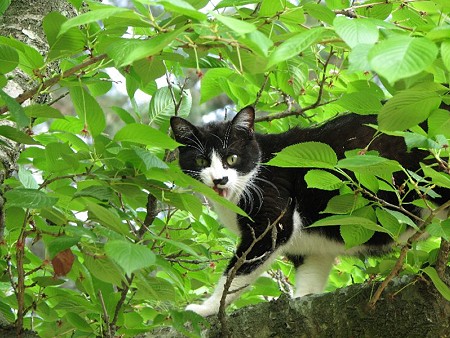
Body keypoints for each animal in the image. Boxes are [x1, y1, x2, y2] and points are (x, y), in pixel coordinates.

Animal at [170, 107, 450, 316]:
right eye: (201, 161)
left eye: (232, 158)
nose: (220, 180)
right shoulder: (310, 250)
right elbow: (311, 276)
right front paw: (303, 299)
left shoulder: (272, 218)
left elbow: (238, 272)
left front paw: (206, 308)